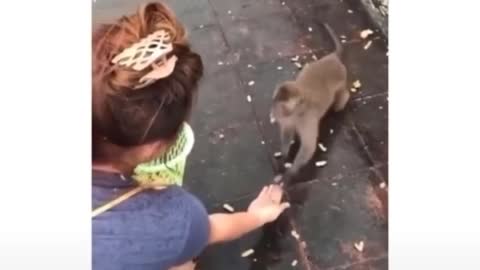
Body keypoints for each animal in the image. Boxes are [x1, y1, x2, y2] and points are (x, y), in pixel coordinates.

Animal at [270, 23, 348, 179]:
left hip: (342, 77)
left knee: (342, 96)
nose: (276, 113)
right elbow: (287, 131)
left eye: (284, 106)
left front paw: (290, 173)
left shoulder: (306, 118)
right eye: (277, 103)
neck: (296, 111)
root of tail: (332, 58)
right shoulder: (286, 118)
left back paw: (340, 103)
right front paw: (284, 155)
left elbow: (308, 145)